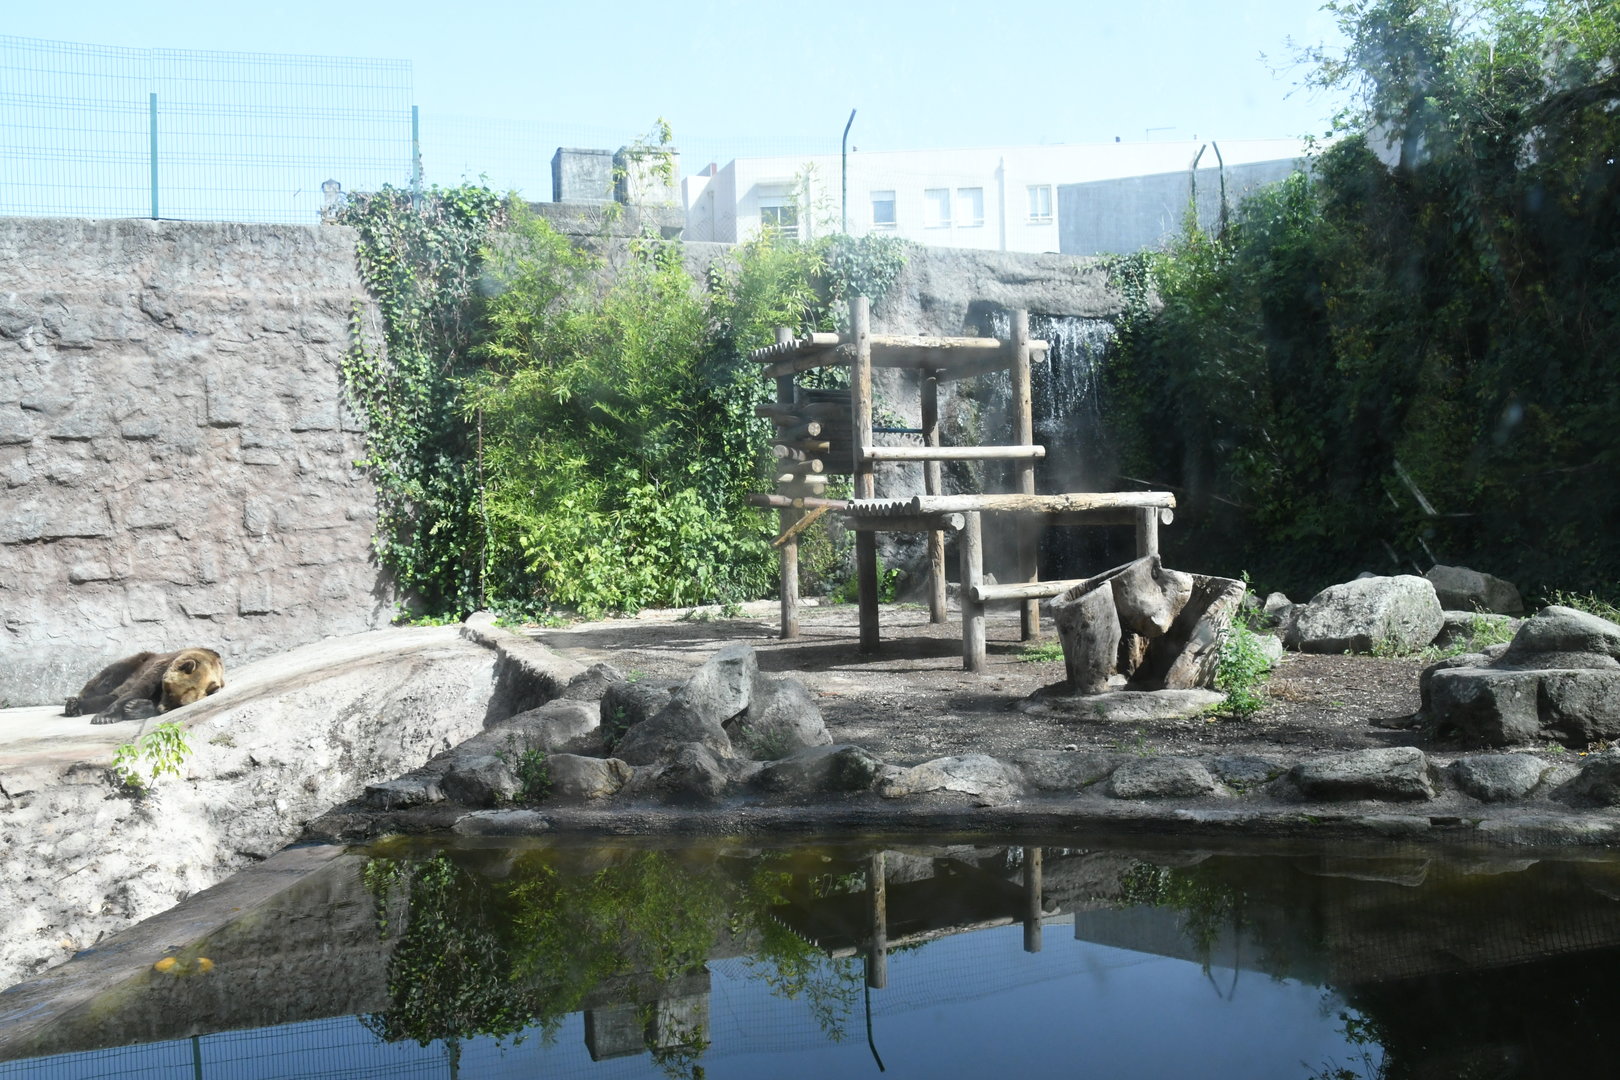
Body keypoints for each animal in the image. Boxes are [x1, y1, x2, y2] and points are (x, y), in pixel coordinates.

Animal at [64, 648, 225, 725]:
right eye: (168, 690)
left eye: (180, 704)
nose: (162, 709)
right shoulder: (160, 667)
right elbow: (139, 689)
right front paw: (105, 717)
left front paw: (133, 708)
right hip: (134, 663)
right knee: (106, 681)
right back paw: (74, 705)